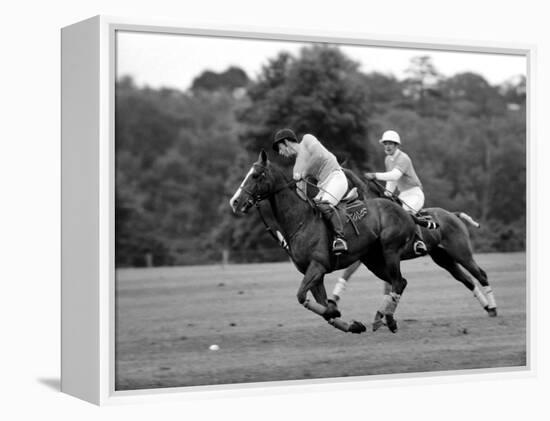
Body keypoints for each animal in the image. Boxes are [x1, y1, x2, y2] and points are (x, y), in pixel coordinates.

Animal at [229, 149, 432, 334]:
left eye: (255, 175)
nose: (235, 202)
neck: (300, 221)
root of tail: (405, 211)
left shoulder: (317, 266)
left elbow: (302, 296)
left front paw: (338, 313)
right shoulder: (314, 274)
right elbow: (324, 308)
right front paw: (352, 325)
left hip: (390, 251)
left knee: (397, 282)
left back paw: (387, 319)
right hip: (374, 260)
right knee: (400, 282)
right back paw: (384, 318)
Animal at [340, 169, 500, 316]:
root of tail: (452, 214)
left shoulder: (384, 255)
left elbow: (391, 283)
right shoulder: (370, 257)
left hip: (461, 253)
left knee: (481, 275)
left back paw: (493, 308)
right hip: (443, 258)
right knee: (467, 280)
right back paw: (487, 307)